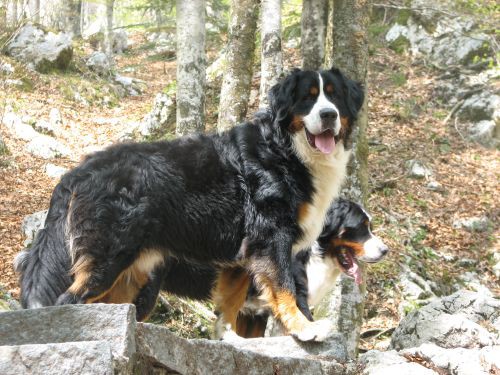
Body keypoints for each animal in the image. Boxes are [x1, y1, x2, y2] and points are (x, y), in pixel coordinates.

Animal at [14, 67, 364, 340]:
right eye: (308, 97)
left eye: (334, 97)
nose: (328, 115)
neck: (285, 149)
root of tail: (80, 170)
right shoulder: (271, 239)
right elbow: (284, 290)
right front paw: (304, 328)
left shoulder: (242, 261)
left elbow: (229, 310)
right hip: (108, 255)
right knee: (67, 300)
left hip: (130, 277)